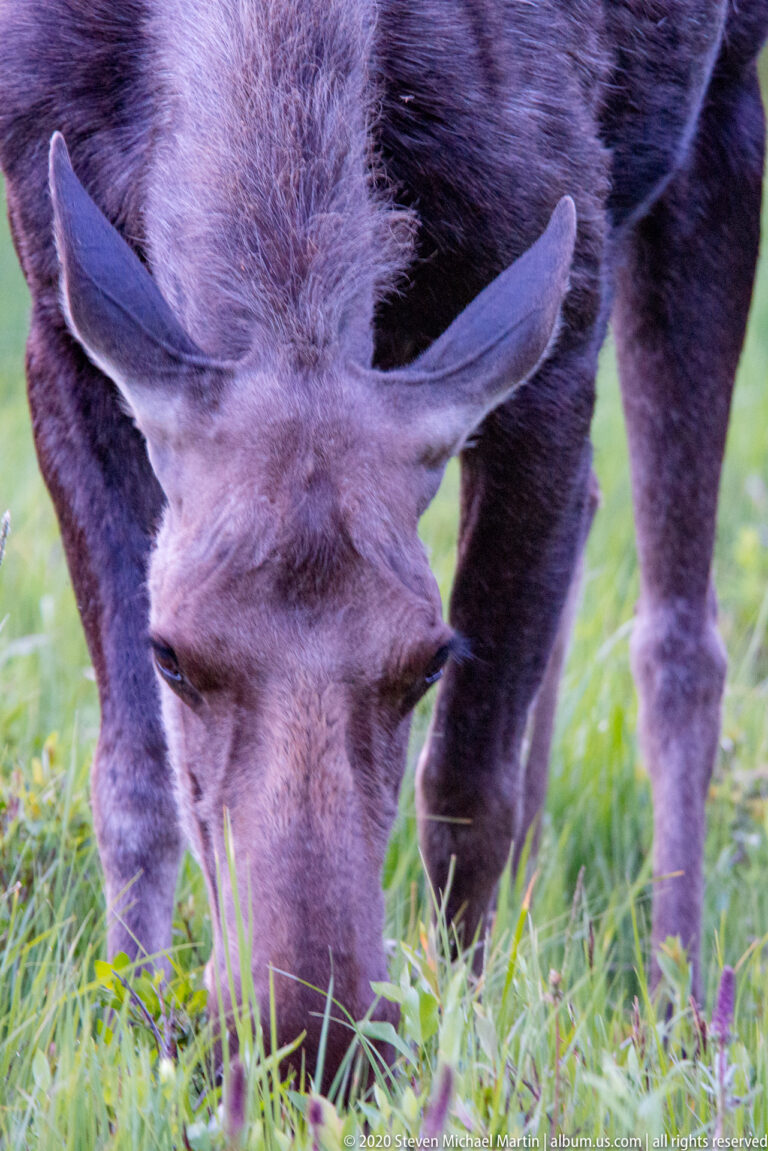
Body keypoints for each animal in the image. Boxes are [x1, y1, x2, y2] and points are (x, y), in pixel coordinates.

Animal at [1, 0, 766, 1083]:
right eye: (171, 653)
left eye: (429, 658)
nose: (310, 1033)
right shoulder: (53, 307)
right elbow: (131, 778)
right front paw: (135, 1022)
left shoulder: (562, 319)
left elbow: (465, 787)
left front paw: (467, 1033)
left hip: (719, 118)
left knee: (678, 637)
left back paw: (683, 1009)